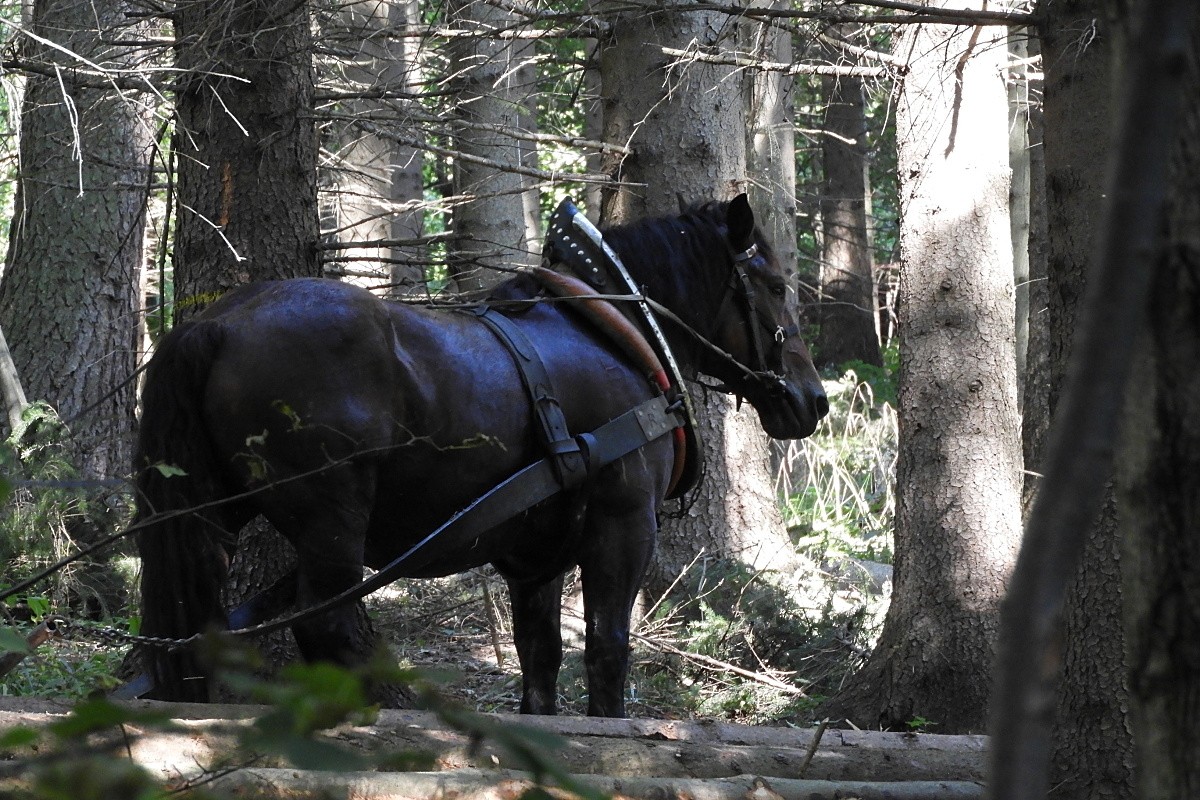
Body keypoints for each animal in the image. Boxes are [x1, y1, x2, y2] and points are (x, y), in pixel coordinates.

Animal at [132, 194, 829, 717]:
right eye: (775, 284)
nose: (814, 400)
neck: (622, 337)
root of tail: (215, 325)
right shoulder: (624, 525)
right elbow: (606, 650)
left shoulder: (533, 557)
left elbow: (540, 658)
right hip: (332, 520)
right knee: (327, 628)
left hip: (211, 517)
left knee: (199, 628)